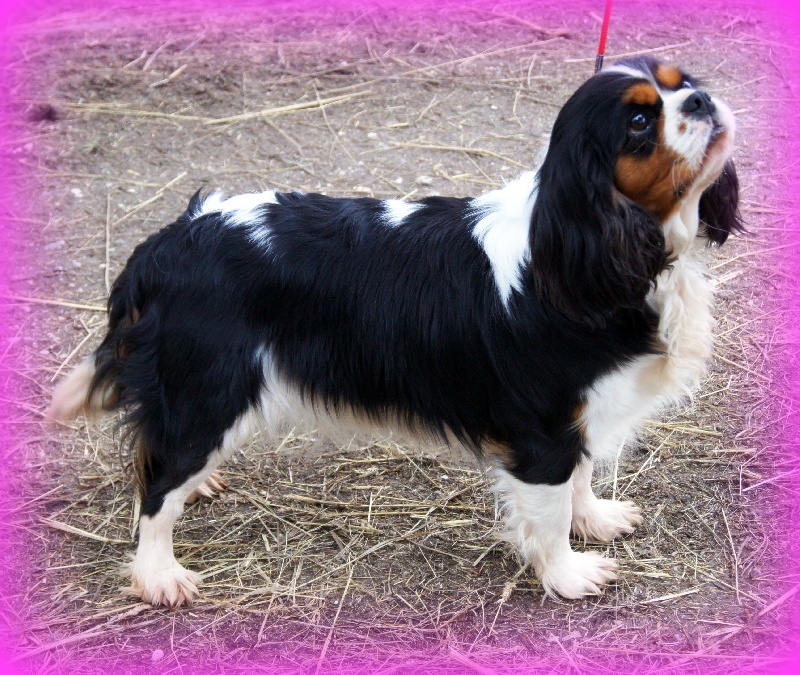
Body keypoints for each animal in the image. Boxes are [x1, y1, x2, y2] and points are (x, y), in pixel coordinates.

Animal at [48, 57, 741, 607]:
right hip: (210, 390)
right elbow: (548, 509)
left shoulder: (581, 414)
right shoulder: (542, 429)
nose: (703, 99)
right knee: (158, 484)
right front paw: (569, 575)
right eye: (640, 123)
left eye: (685, 83)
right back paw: (157, 575)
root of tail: (169, 241)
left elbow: (582, 476)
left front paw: (594, 518)